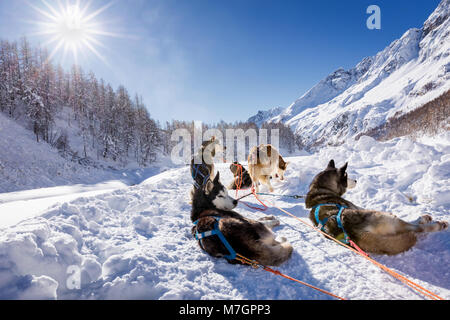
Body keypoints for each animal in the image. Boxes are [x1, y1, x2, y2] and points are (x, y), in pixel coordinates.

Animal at [304, 160, 448, 255]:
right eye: (346, 176)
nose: (355, 180)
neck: (320, 189)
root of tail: (353, 231)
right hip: (386, 217)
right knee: (416, 228)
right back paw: (436, 224)